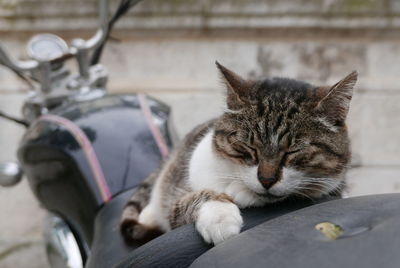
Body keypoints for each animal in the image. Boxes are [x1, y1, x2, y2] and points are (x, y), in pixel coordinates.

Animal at [119, 61, 356, 245]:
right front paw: (220, 215)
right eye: (249, 147)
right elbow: (195, 198)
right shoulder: (179, 195)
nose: (266, 180)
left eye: (293, 151)